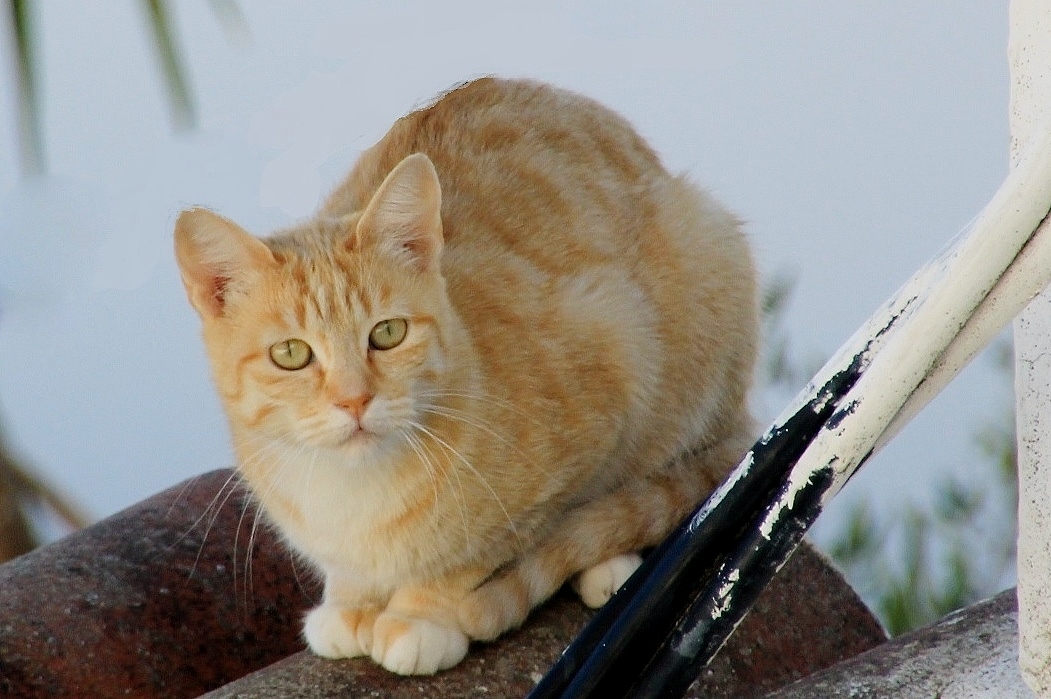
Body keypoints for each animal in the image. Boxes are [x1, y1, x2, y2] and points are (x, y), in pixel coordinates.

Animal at [176, 78, 760, 672]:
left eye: (387, 333)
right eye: (292, 353)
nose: (354, 400)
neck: (357, 494)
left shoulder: (613, 363)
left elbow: (484, 551)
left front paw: (421, 614)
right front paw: (350, 602)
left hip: (702, 272)